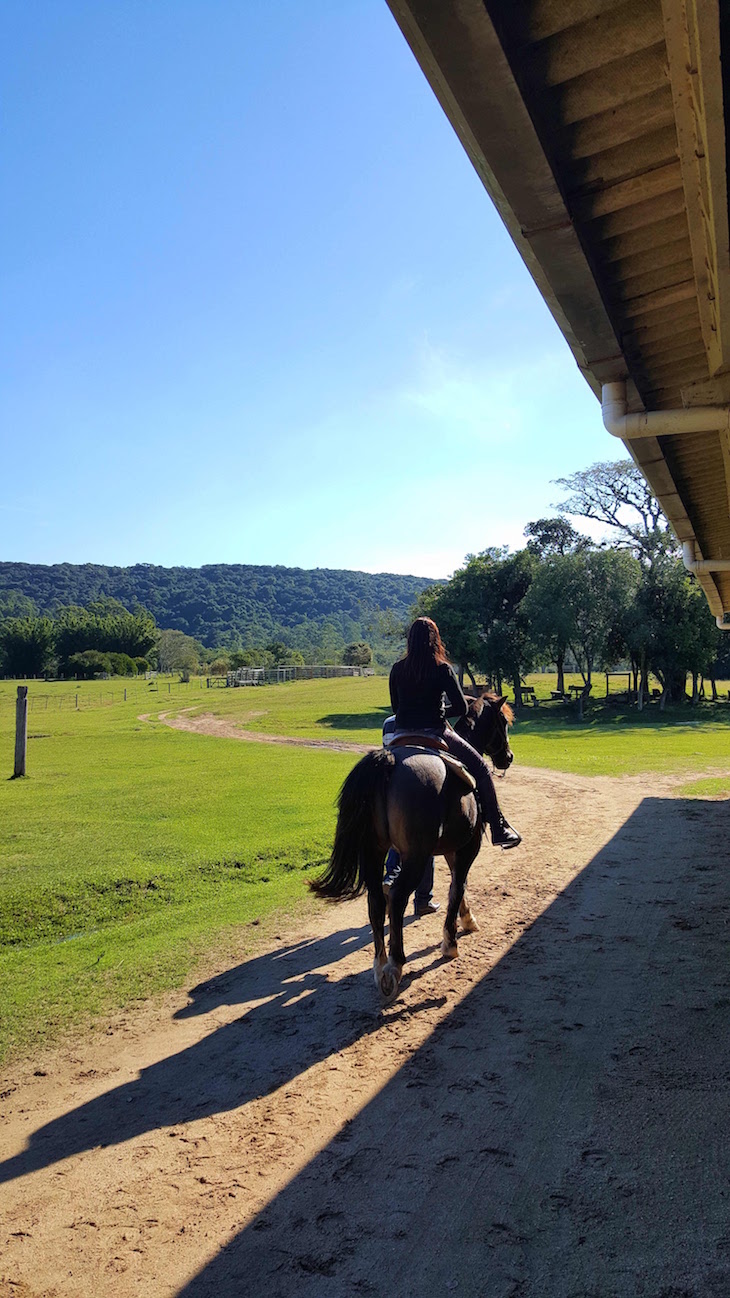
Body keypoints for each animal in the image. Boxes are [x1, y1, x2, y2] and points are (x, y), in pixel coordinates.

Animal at [311, 695, 511, 996]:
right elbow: (457, 886)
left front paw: (466, 919)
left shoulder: (451, 848)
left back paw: (380, 964)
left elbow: (458, 884)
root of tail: (390, 761)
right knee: (396, 897)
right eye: (502, 723)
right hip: (415, 857)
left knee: (376, 899)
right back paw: (394, 965)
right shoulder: (468, 845)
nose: (508, 757)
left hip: (374, 852)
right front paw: (450, 942)